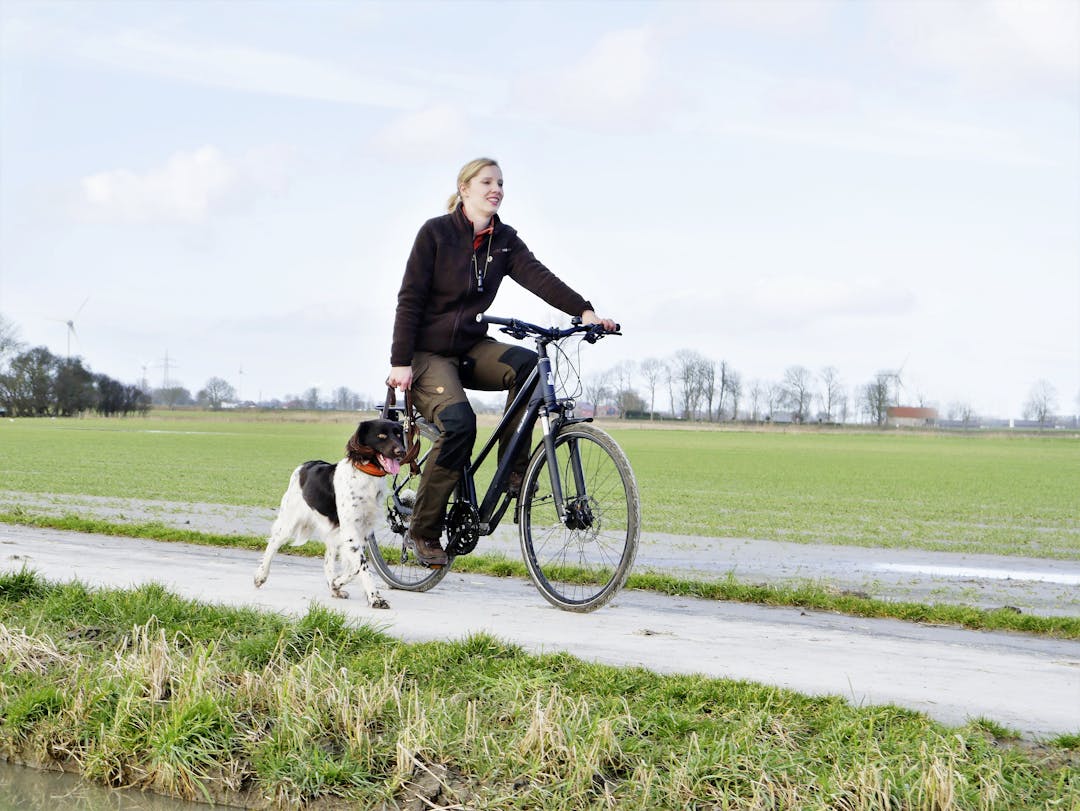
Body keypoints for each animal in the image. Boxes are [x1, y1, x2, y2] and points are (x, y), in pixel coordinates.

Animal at [253, 418, 408, 609]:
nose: (401, 451)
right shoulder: (350, 530)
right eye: (381, 436)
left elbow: (354, 567)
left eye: (399, 434)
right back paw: (260, 576)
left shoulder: (363, 531)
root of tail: (305, 465)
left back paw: (334, 588)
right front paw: (375, 598)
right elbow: (362, 566)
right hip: (289, 522)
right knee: (273, 544)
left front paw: (336, 583)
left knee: (327, 560)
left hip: (333, 532)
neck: (366, 476)